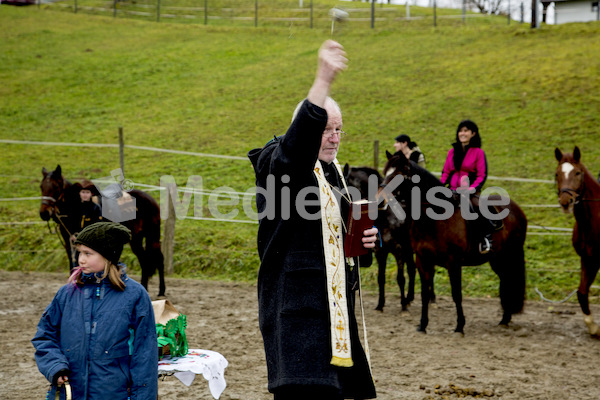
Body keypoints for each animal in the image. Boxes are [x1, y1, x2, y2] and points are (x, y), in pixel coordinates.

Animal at [39, 164, 166, 298]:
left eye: (55, 187)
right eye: (41, 187)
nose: (44, 213)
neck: (78, 208)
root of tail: (151, 200)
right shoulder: (68, 240)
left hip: (152, 236)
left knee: (159, 259)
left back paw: (161, 291)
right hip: (136, 239)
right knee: (144, 259)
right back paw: (145, 287)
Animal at [380, 152, 524, 332]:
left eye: (399, 173)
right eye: (386, 172)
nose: (381, 199)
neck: (436, 217)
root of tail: (516, 209)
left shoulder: (453, 262)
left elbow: (456, 294)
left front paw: (460, 325)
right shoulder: (422, 260)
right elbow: (425, 293)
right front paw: (422, 324)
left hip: (509, 255)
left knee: (509, 281)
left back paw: (505, 317)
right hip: (497, 259)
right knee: (506, 280)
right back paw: (505, 318)